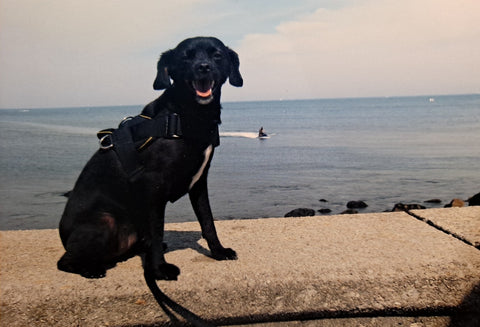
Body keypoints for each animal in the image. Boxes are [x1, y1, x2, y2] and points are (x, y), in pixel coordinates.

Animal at [57, 36, 242, 282]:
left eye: (217, 55)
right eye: (186, 57)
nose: (203, 67)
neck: (185, 117)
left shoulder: (199, 182)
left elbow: (208, 221)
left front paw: (218, 251)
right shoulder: (153, 187)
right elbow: (157, 229)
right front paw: (159, 270)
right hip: (105, 222)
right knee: (65, 261)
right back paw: (91, 269)